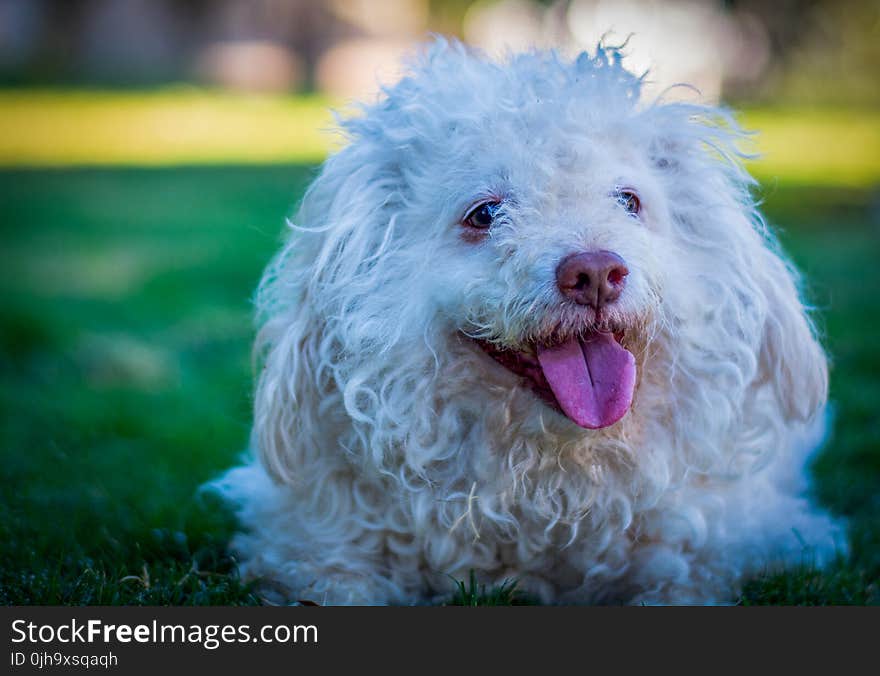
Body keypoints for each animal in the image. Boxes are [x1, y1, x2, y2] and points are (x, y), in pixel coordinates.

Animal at [213, 39, 844, 604]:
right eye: (485, 213)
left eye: (629, 200)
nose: (595, 272)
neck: (547, 497)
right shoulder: (308, 546)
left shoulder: (728, 542)